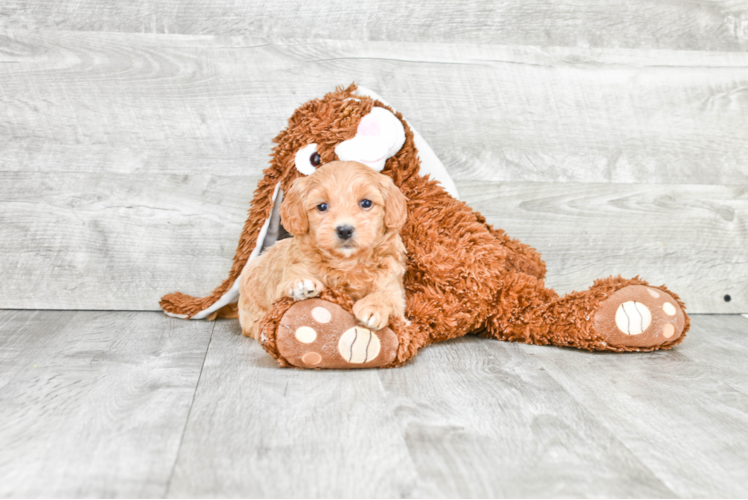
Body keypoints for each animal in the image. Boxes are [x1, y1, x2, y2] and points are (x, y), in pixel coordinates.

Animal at [240, 160, 406, 340]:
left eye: (366, 203)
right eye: (322, 206)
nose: (344, 230)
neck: (346, 263)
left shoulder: (392, 283)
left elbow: (388, 296)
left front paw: (373, 307)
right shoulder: (292, 272)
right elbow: (288, 284)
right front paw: (301, 283)